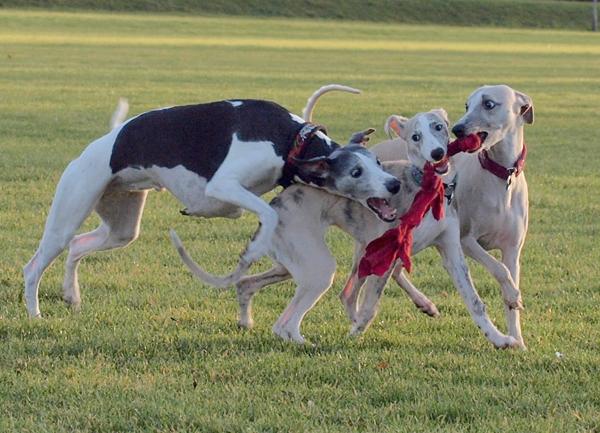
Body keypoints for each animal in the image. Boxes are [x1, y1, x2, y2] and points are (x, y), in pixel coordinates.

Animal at [23, 86, 400, 316]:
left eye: (376, 163)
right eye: (356, 172)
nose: (395, 184)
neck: (292, 139)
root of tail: (103, 141)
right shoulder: (224, 185)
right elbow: (266, 214)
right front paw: (253, 250)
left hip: (121, 227)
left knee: (77, 246)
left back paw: (71, 295)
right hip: (68, 214)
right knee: (35, 265)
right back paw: (35, 313)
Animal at [171, 89, 516, 346]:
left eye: (438, 128)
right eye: (415, 137)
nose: (437, 155)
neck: (426, 188)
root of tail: (276, 202)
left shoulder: (450, 250)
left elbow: (474, 301)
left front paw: (500, 339)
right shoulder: (388, 252)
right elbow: (369, 305)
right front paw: (355, 334)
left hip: (292, 264)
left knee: (247, 284)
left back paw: (248, 320)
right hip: (319, 265)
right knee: (291, 319)